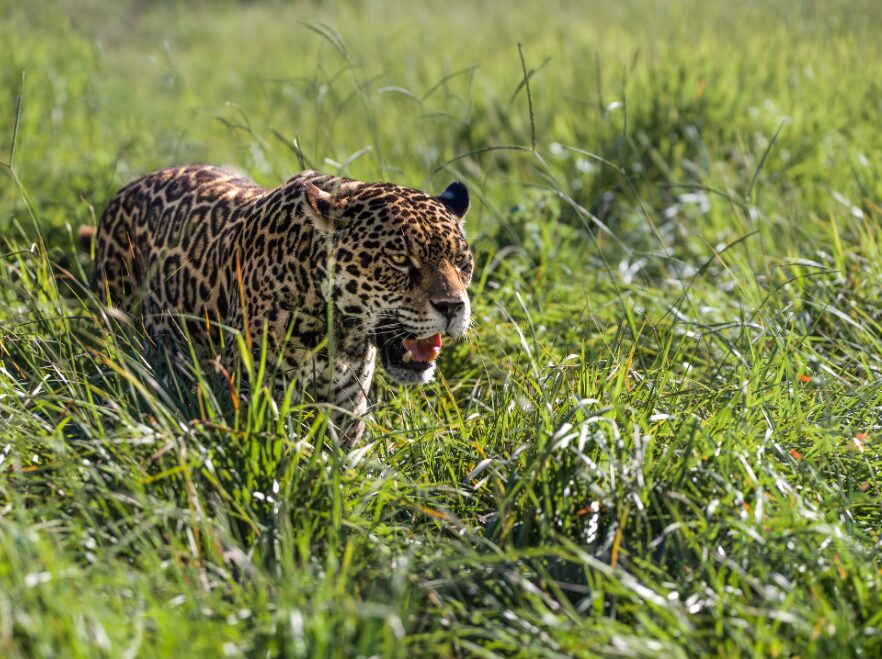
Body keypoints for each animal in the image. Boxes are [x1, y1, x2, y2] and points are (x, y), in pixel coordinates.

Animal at [91, 164, 474, 443]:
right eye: (398, 259)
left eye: (461, 262)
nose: (453, 307)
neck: (335, 331)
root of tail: (130, 185)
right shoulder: (253, 396)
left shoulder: (346, 409)